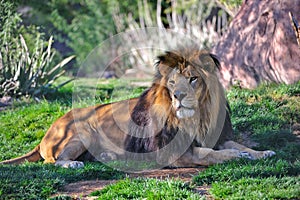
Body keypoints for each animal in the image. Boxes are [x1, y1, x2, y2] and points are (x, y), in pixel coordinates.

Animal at [1, 48, 276, 169]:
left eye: (193, 79)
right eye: (172, 82)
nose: (178, 96)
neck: (197, 117)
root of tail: (45, 134)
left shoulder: (216, 136)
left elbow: (236, 145)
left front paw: (262, 152)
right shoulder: (173, 153)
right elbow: (209, 154)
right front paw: (238, 156)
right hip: (82, 132)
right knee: (54, 160)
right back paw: (72, 164)